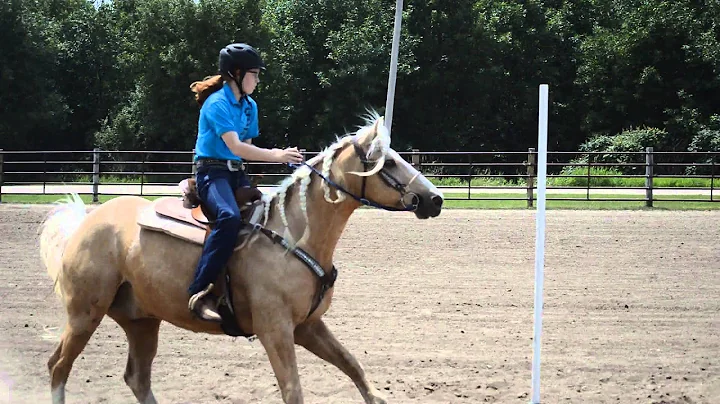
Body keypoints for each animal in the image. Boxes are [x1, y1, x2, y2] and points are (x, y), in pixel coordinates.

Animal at [39, 112, 444, 402]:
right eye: (385, 163)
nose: (435, 199)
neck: (292, 238)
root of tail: (87, 222)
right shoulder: (275, 329)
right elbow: (293, 390)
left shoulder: (308, 326)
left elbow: (354, 368)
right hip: (84, 314)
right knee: (58, 367)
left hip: (142, 321)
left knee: (137, 378)